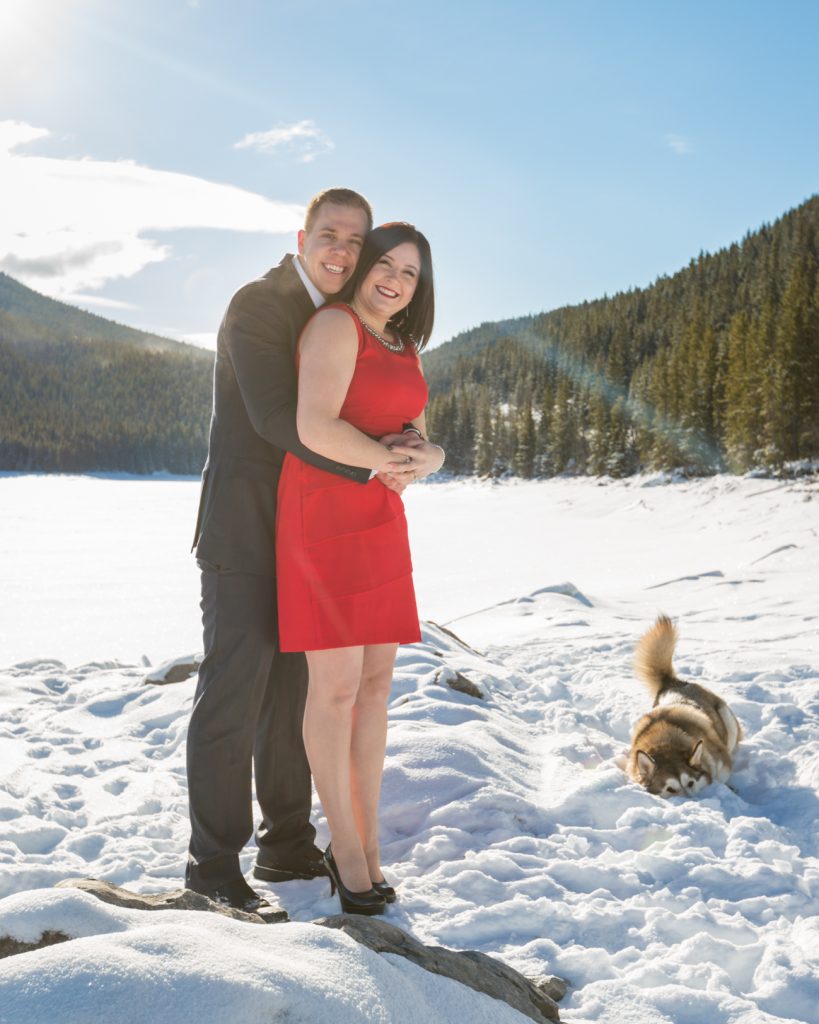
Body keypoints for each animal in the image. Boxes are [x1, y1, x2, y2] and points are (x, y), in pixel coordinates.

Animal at [626, 610, 741, 794]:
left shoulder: (722, 761)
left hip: (727, 720)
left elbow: (721, 776)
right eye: (670, 789)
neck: (665, 742)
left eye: (691, 783)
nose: (693, 799)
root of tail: (672, 682)